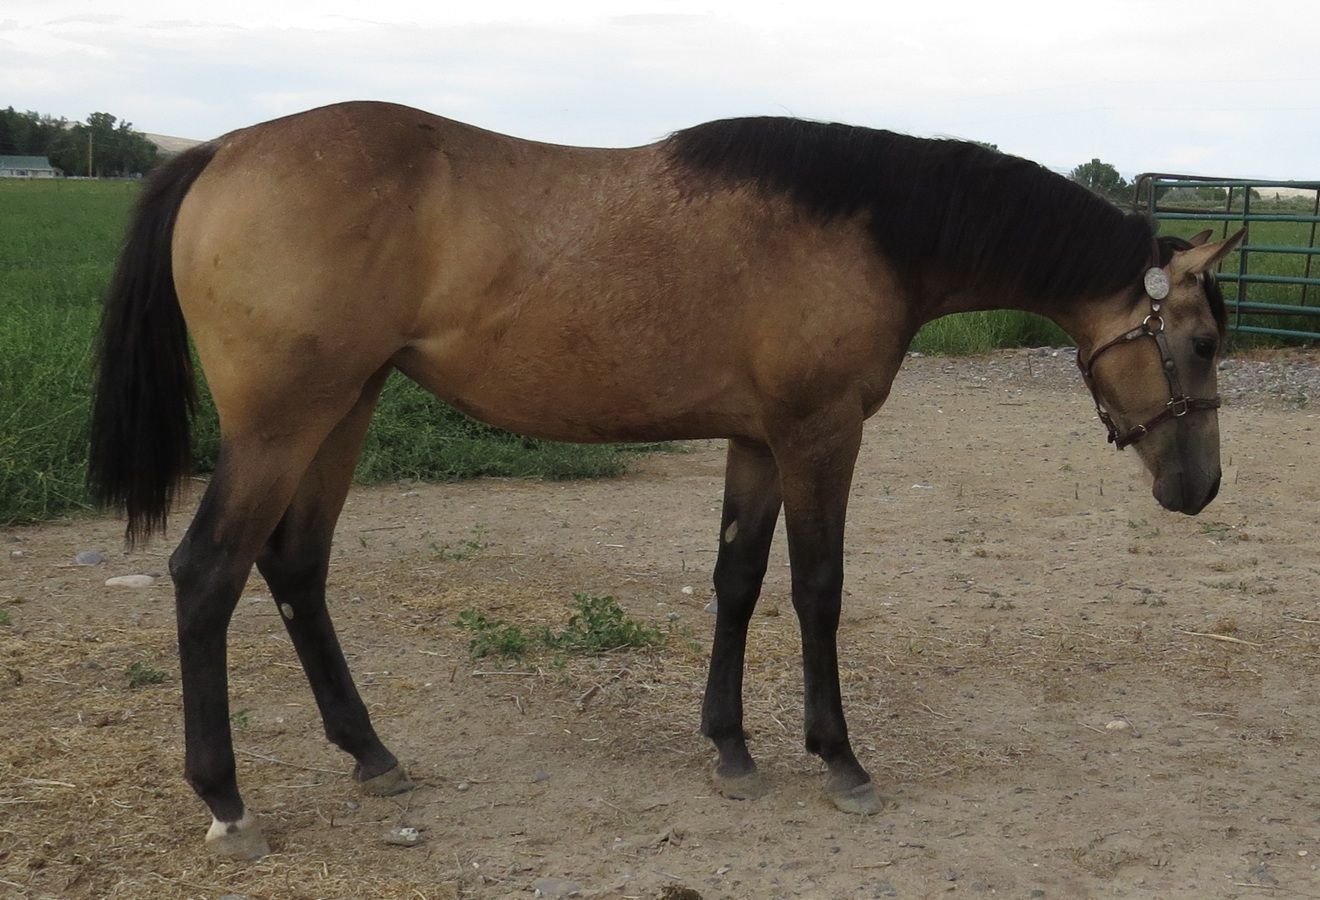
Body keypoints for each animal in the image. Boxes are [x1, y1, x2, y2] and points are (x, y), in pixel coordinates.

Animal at [87, 102, 1243, 858]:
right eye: (1197, 343)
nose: (1199, 489)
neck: (864, 229)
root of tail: (224, 149)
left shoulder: (759, 443)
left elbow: (737, 582)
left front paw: (730, 746)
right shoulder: (820, 437)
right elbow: (817, 592)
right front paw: (838, 759)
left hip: (347, 405)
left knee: (296, 566)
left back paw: (370, 752)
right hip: (283, 424)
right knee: (207, 575)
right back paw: (228, 801)